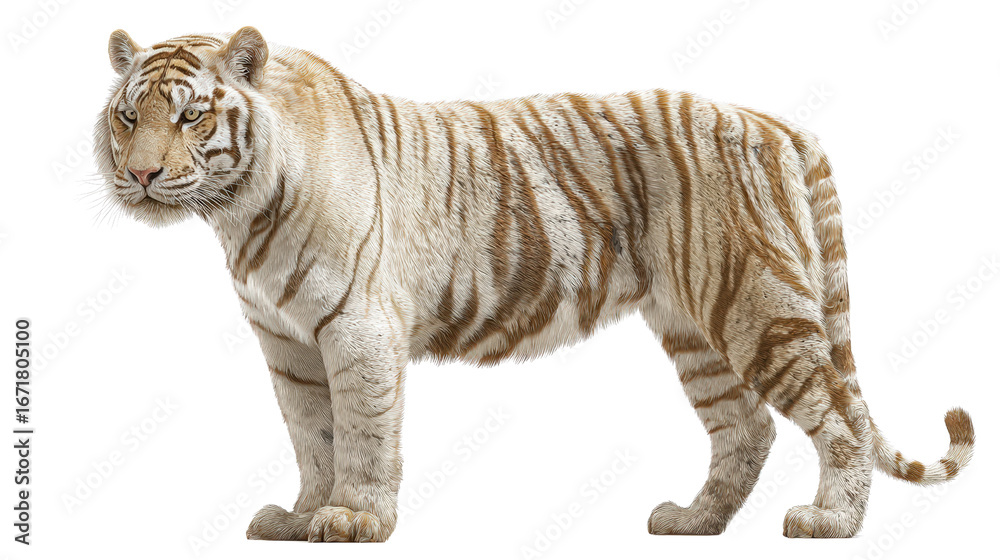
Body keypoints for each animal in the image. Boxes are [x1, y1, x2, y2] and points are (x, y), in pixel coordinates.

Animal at [95, 27, 975, 542]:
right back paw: (692, 521)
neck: (239, 212)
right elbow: (312, 433)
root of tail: (777, 122)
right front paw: (303, 514)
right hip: (693, 327)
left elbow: (364, 432)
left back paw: (831, 520)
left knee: (838, 416)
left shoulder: (358, 327)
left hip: (757, 305)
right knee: (746, 427)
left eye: (192, 116)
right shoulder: (285, 340)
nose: (139, 176)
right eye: (127, 116)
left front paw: (353, 518)